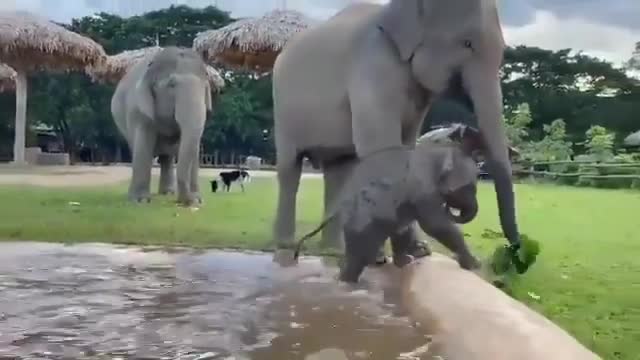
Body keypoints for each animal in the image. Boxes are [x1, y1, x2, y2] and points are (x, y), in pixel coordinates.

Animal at [112, 46, 215, 207]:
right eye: (171, 85)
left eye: (205, 87)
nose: (187, 202)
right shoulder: (138, 110)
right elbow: (143, 144)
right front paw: (140, 201)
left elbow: (193, 145)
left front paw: (197, 200)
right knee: (137, 149)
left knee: (167, 157)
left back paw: (167, 193)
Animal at [270, 0, 520, 262]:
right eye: (467, 43)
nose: (516, 250)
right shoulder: (373, 65)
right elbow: (381, 146)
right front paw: (396, 253)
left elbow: (405, 145)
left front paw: (412, 253)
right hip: (283, 110)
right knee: (290, 168)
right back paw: (286, 248)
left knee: (338, 171)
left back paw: (333, 251)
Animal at [294, 136, 480, 282]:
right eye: (471, 187)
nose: (450, 208)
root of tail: (337, 205)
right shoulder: (423, 190)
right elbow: (435, 225)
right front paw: (473, 264)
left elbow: (410, 226)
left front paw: (418, 254)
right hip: (362, 217)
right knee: (361, 256)